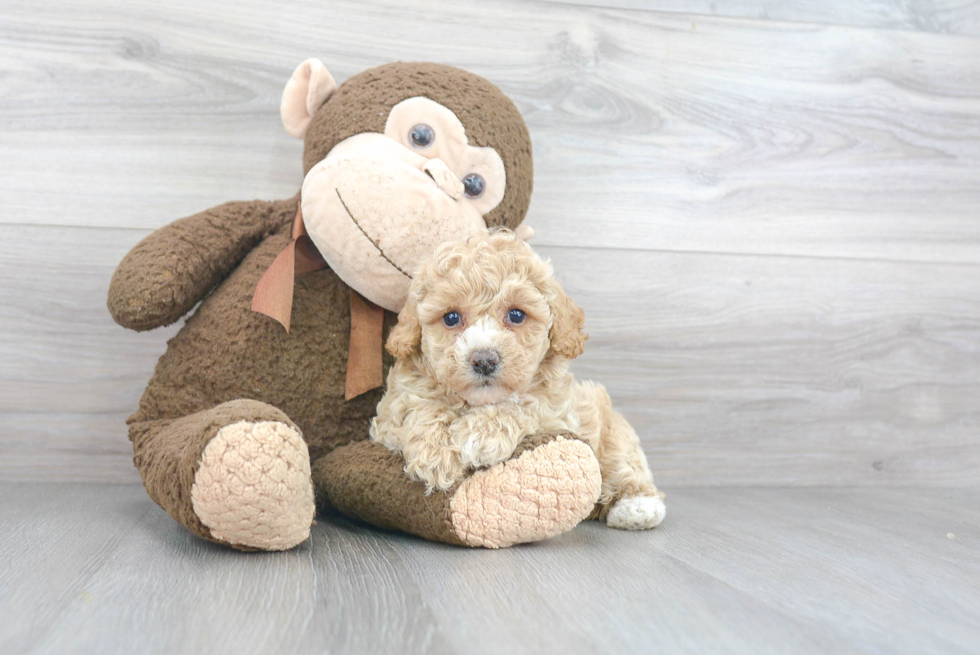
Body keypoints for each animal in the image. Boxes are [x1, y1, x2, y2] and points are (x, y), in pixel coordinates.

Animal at [370, 229, 668, 528]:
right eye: (451, 317)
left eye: (516, 314)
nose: (484, 360)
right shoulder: (389, 416)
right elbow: (419, 407)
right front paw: (435, 454)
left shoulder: (557, 413)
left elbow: (524, 406)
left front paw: (478, 433)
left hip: (613, 435)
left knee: (624, 465)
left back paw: (637, 507)